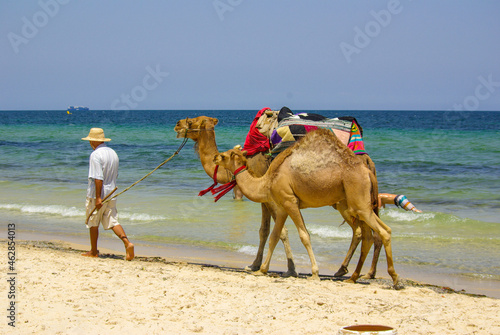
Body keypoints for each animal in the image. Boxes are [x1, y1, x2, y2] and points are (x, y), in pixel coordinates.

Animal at [213, 127, 400, 288]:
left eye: (224, 156)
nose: (215, 157)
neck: (267, 180)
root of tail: (367, 171)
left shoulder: (290, 201)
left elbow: (304, 236)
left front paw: (315, 273)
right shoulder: (282, 206)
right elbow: (275, 236)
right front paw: (262, 269)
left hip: (359, 202)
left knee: (383, 231)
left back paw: (394, 279)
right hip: (357, 205)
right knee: (370, 235)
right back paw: (352, 277)